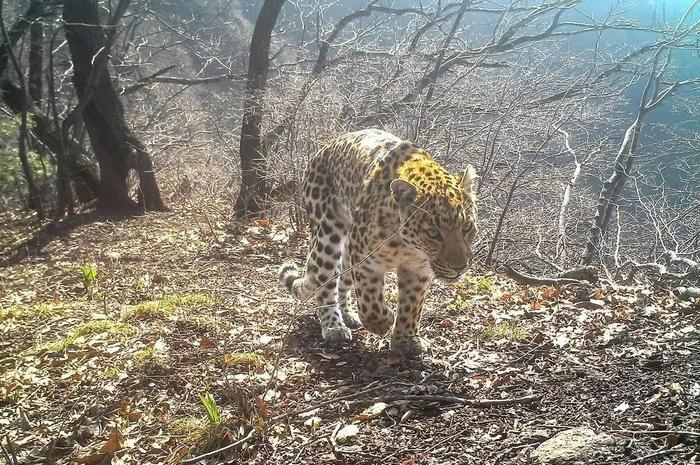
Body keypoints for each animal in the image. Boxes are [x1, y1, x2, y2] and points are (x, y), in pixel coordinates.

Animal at [278, 128, 476, 356]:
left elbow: (412, 305)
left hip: (347, 252)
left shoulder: (417, 269)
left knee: (342, 281)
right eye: (433, 233)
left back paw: (348, 315)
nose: (460, 267)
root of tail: (324, 148)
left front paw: (406, 340)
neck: (409, 247)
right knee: (325, 282)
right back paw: (334, 326)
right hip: (327, 234)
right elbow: (369, 299)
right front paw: (381, 323)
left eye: (467, 227)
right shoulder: (365, 260)